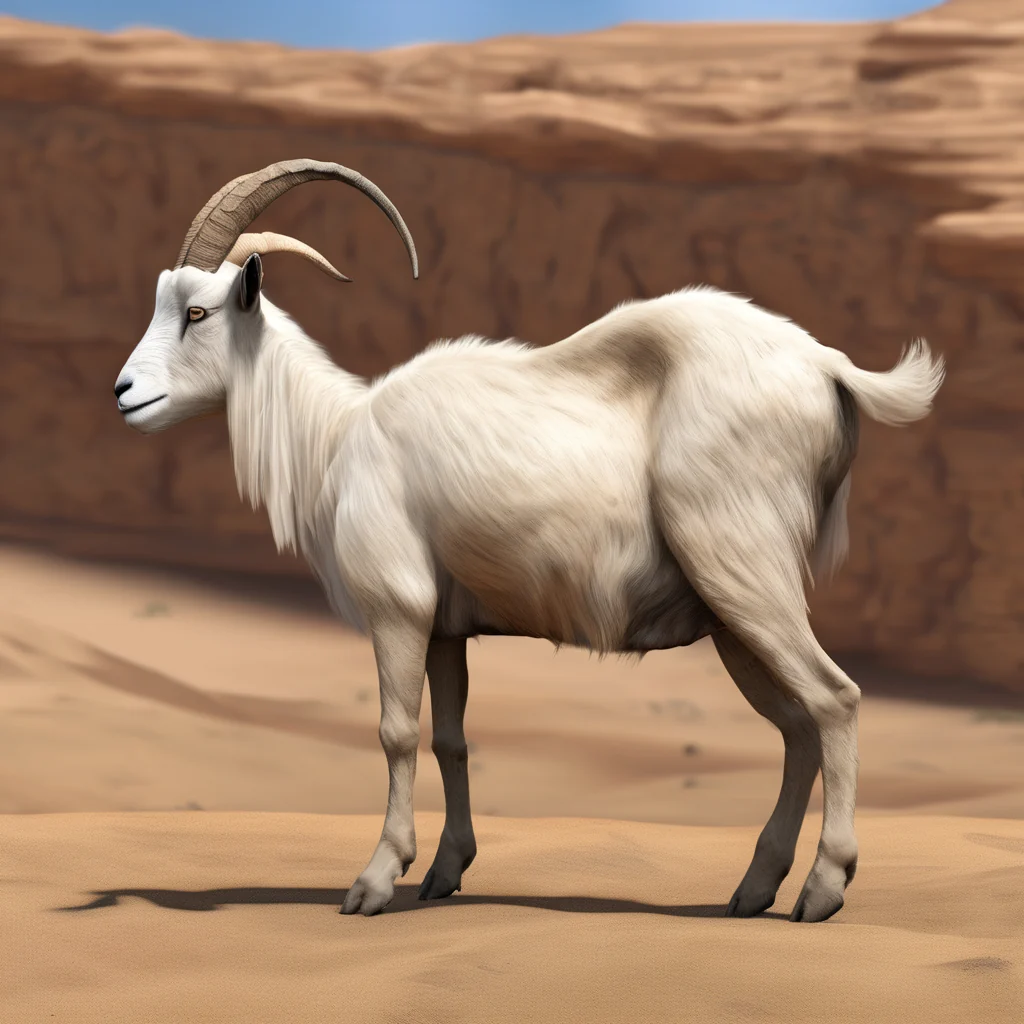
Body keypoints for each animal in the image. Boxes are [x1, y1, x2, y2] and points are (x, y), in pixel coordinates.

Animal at [114, 158, 944, 923]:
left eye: (196, 312)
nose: (124, 393)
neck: (338, 434)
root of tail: (830, 368)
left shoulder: (398, 607)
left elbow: (395, 732)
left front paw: (375, 881)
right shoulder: (446, 627)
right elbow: (451, 738)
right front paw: (445, 871)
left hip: (743, 566)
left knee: (833, 699)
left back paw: (822, 889)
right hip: (733, 614)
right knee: (798, 725)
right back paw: (753, 890)